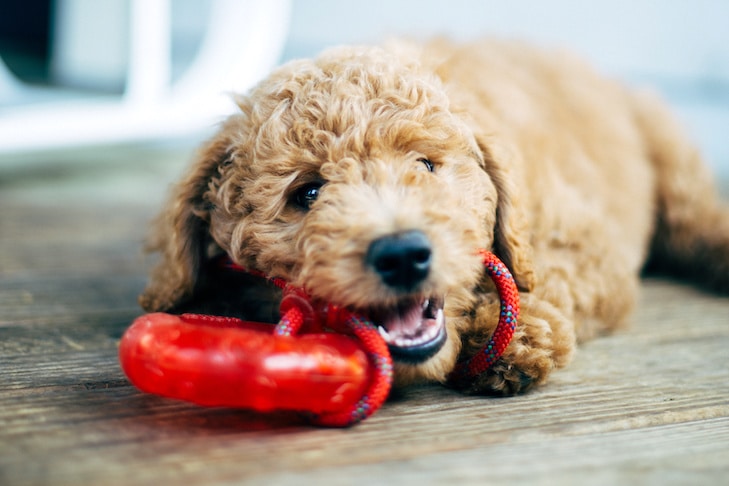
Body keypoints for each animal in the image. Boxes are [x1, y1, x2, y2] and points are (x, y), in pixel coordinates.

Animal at [138, 39, 728, 396]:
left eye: (426, 165)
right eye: (307, 192)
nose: (402, 254)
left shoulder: (588, 242)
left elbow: (546, 275)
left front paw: (515, 334)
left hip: (667, 150)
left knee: (697, 216)